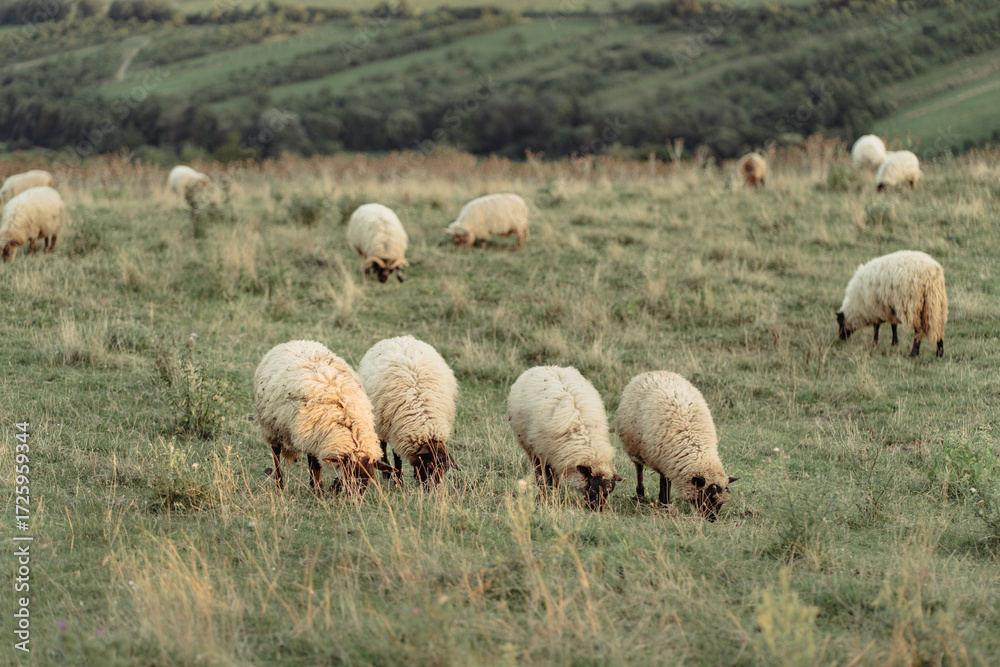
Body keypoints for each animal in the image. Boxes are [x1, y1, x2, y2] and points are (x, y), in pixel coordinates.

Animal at [253, 340, 395, 497]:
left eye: (369, 478)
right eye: (349, 475)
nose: (356, 500)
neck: (346, 421)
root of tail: (292, 342)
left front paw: (330, 488)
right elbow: (317, 467)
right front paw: (320, 492)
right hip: (273, 427)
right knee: (276, 454)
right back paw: (280, 484)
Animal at [358, 336, 459, 488]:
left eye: (445, 469)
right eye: (429, 465)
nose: (431, 490)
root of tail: (397, 339)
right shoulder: (395, 430)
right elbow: (396, 456)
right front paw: (398, 480)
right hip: (380, 422)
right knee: (382, 445)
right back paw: (386, 472)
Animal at [507, 366, 621, 510]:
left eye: (608, 493)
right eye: (594, 488)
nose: (596, 510)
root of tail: (547, 366)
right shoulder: (545, 454)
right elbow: (547, 477)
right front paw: (547, 496)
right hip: (531, 448)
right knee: (539, 472)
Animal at [616, 372, 736, 522]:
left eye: (720, 504)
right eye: (705, 497)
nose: (711, 520)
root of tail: (653, 372)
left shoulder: (669, 462)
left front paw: (664, 502)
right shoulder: (663, 460)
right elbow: (665, 483)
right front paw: (665, 503)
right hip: (634, 447)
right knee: (639, 469)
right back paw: (640, 495)